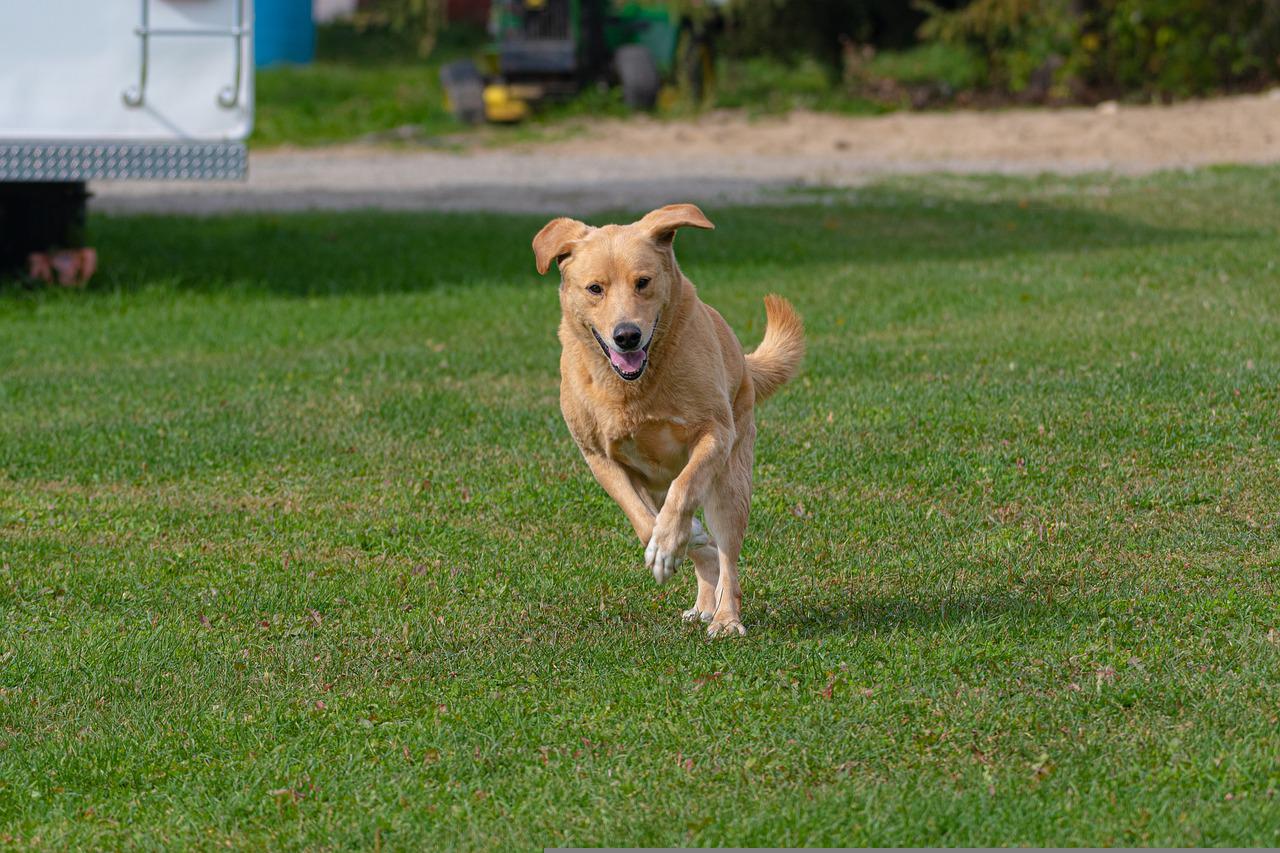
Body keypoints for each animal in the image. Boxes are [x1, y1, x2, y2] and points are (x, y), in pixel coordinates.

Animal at [535, 202, 803, 635]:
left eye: (643, 282)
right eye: (595, 289)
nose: (627, 335)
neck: (634, 388)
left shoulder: (715, 434)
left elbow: (685, 487)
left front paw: (672, 541)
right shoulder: (599, 458)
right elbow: (643, 520)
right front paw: (673, 542)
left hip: (731, 482)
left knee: (727, 556)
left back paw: (725, 618)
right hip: (656, 485)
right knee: (702, 550)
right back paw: (703, 594)